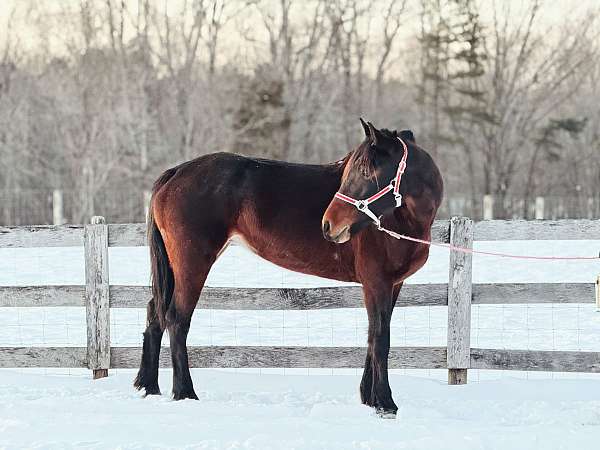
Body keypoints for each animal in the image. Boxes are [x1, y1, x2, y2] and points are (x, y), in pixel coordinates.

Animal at [137, 118, 446, 414]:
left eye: (365, 171)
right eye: (357, 169)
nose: (328, 224)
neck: (403, 220)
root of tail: (176, 172)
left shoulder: (393, 284)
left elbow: (374, 337)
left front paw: (369, 398)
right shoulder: (376, 282)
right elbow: (381, 338)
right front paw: (384, 403)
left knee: (156, 312)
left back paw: (149, 386)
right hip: (191, 263)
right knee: (177, 319)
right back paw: (185, 393)